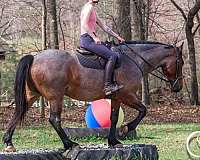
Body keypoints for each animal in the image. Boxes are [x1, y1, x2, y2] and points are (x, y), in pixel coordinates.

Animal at [2, 40, 184, 152]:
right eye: (180, 63)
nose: (178, 87)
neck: (133, 59)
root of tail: (34, 57)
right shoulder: (127, 95)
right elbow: (143, 110)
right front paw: (126, 128)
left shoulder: (116, 98)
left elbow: (113, 118)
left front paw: (114, 141)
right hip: (56, 97)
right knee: (54, 119)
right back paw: (69, 144)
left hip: (32, 95)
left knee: (18, 113)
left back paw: (9, 143)